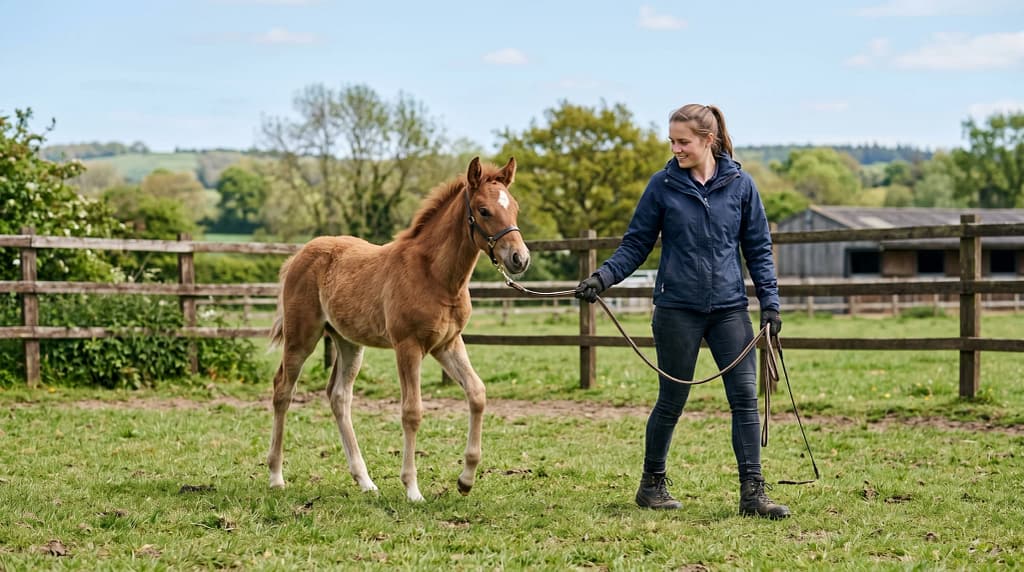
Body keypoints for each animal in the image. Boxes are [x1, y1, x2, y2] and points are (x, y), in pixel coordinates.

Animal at [267, 156, 530, 501]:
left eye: (515, 207)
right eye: (484, 210)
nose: (519, 258)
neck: (435, 276)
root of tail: (298, 255)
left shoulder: (447, 344)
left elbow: (477, 393)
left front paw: (466, 479)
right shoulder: (408, 346)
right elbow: (412, 412)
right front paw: (412, 488)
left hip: (349, 342)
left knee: (339, 397)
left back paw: (365, 481)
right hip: (301, 337)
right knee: (283, 389)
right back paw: (276, 476)